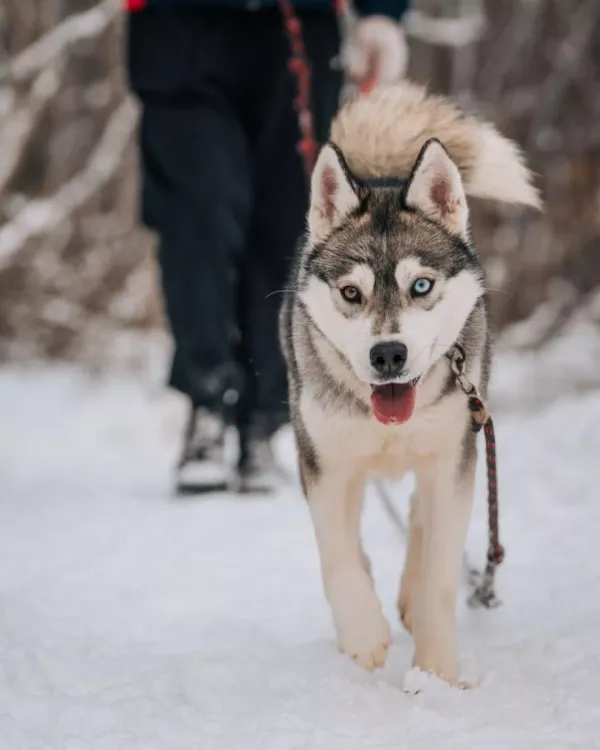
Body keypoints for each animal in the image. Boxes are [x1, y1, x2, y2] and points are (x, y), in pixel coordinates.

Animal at [280, 83, 540, 688]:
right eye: (351, 293)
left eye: (420, 285)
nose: (388, 354)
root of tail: (381, 175)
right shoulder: (325, 463)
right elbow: (338, 558)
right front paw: (363, 635)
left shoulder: (454, 458)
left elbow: (439, 575)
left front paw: (437, 674)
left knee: (421, 516)